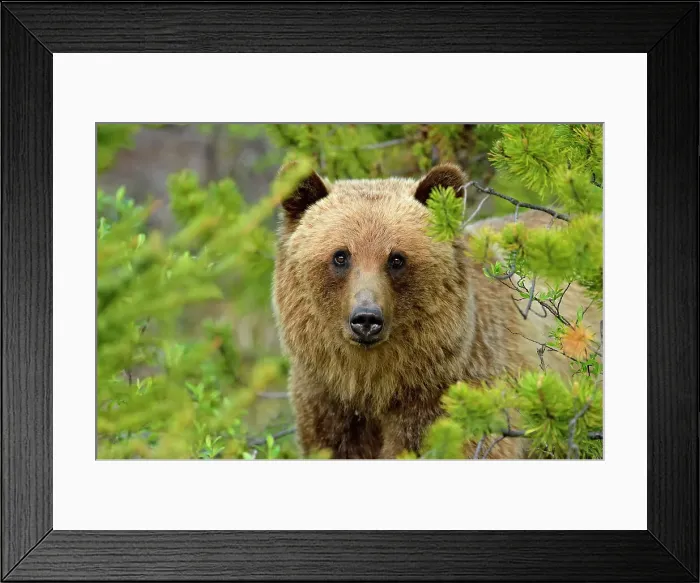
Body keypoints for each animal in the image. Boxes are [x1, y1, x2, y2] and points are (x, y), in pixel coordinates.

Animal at [272, 163, 601, 459]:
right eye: (340, 256)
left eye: (396, 258)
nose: (366, 318)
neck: (374, 383)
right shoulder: (327, 407)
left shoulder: (454, 389)